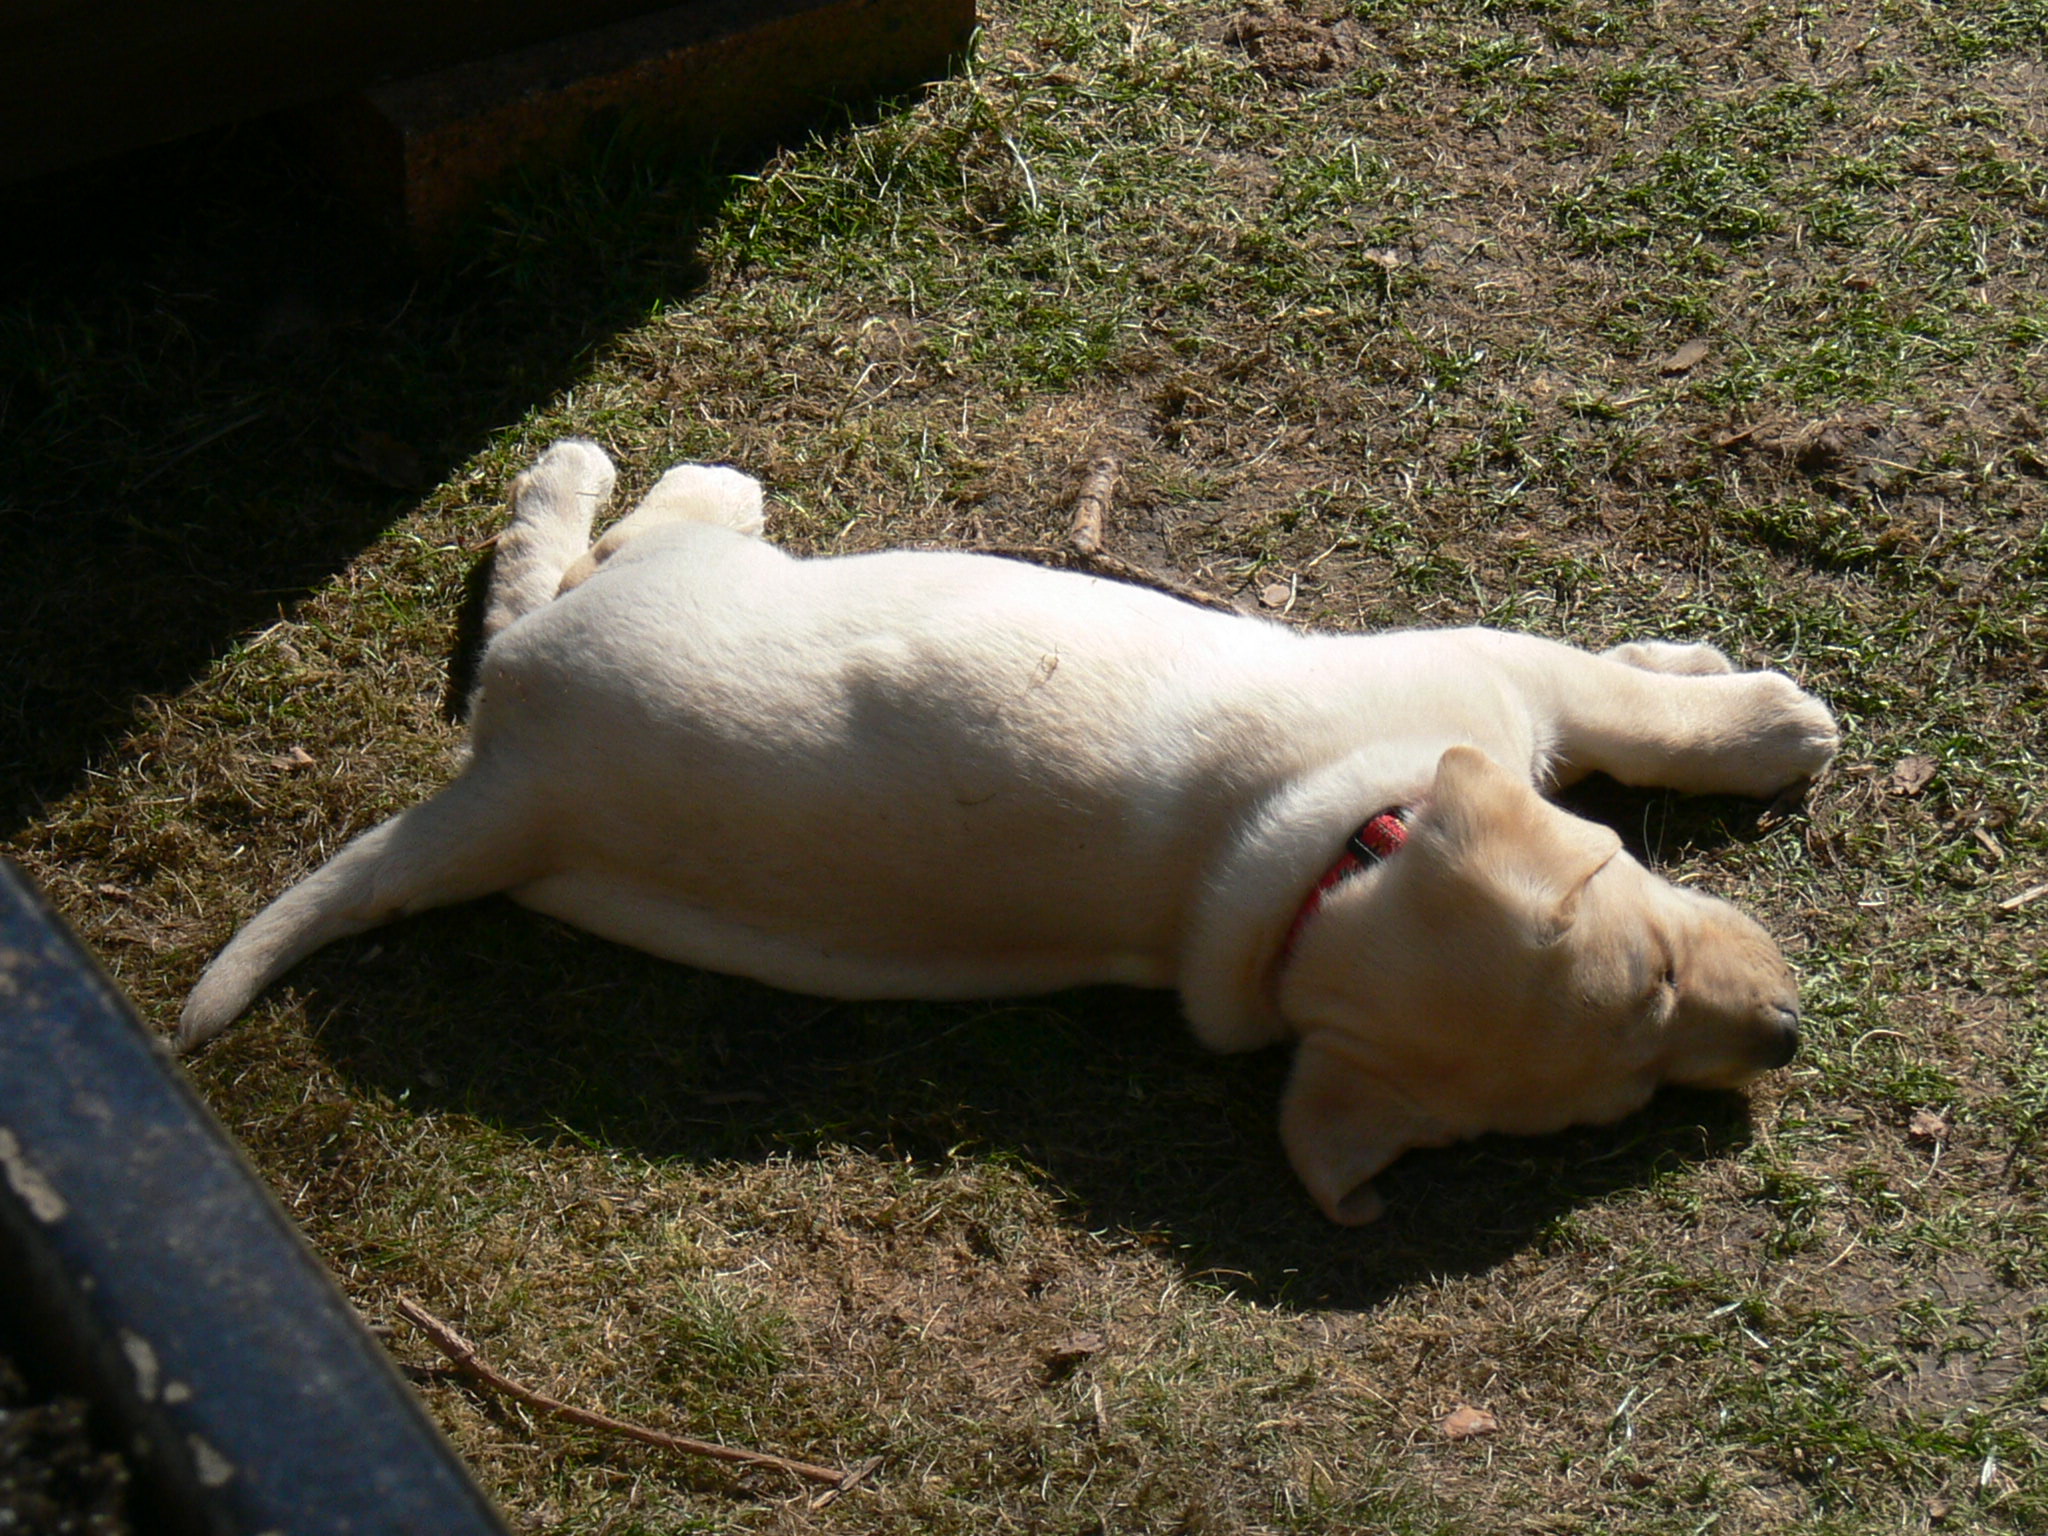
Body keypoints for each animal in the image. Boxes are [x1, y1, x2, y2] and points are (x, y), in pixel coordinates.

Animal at [180, 442, 1843, 1228]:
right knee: (599, 546)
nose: (1786, 1041)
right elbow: (1629, 700)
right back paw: (626, 473)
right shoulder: (1487, 672)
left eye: (1619, 1104)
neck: (1319, 874)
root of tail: (515, 789)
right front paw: (1762, 713)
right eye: (1650, 969)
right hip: (670, 591)